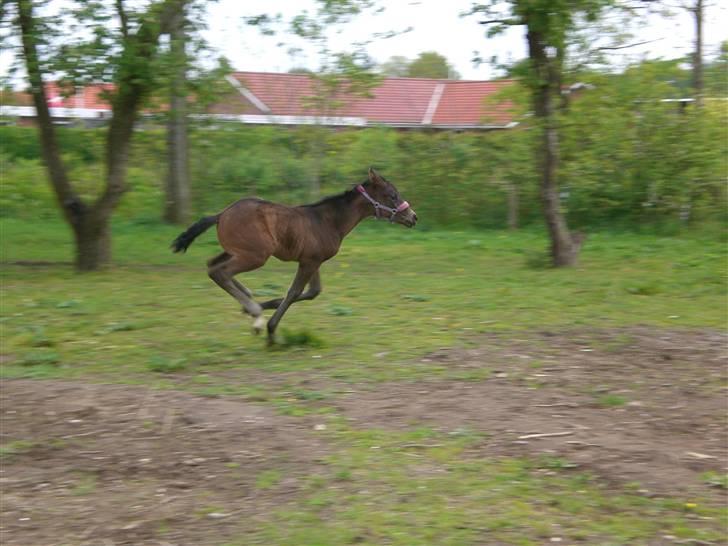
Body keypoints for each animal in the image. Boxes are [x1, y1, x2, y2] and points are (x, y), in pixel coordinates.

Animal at [171, 168, 418, 342]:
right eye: (392, 195)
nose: (413, 217)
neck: (328, 221)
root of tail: (221, 214)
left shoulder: (314, 261)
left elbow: (313, 292)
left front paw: (265, 306)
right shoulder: (309, 261)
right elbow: (295, 292)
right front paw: (271, 329)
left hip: (237, 251)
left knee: (212, 264)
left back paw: (250, 304)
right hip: (256, 256)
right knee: (219, 271)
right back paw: (255, 314)